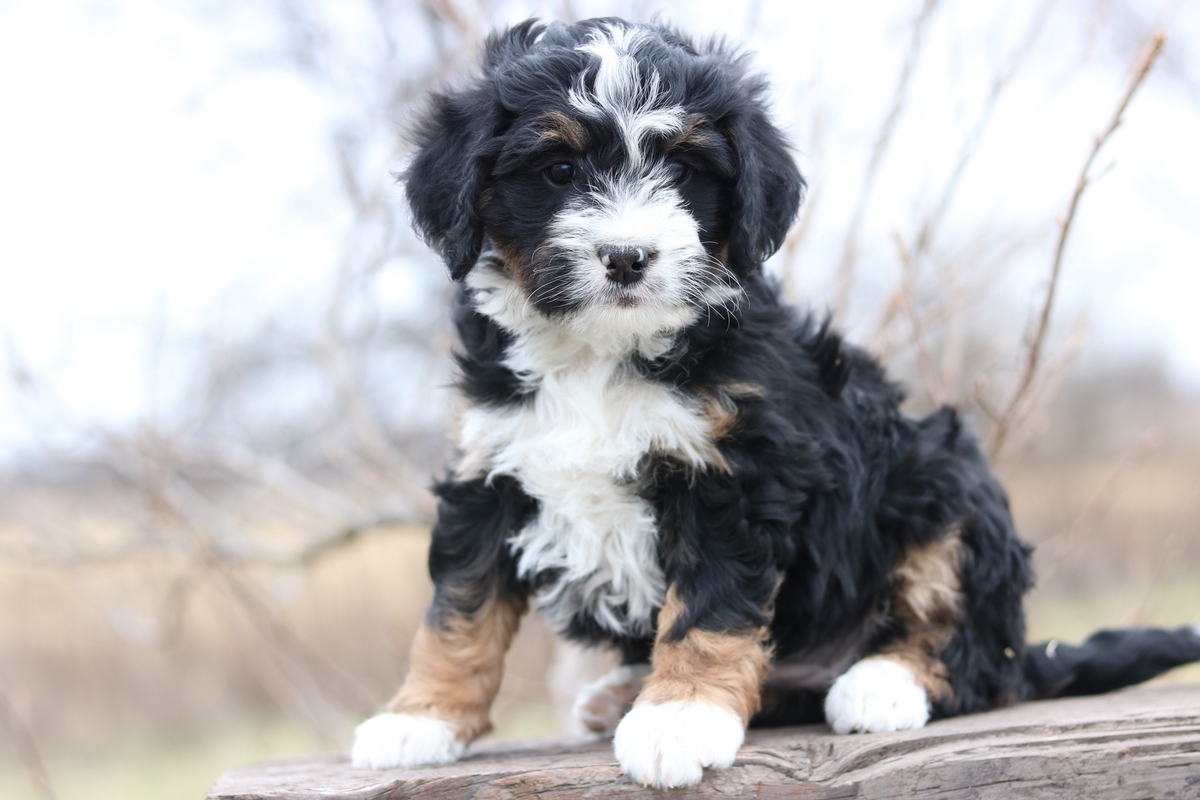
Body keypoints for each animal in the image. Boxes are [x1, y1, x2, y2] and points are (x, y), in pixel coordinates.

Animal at [350, 17, 1200, 786]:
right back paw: (623, 693)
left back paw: (880, 682)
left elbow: (710, 606)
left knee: (975, 648)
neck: (601, 351)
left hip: (943, 474)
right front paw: (419, 718)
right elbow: (459, 608)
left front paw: (680, 717)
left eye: (684, 170)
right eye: (558, 170)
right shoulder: (489, 467)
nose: (627, 257)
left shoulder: (736, 472)